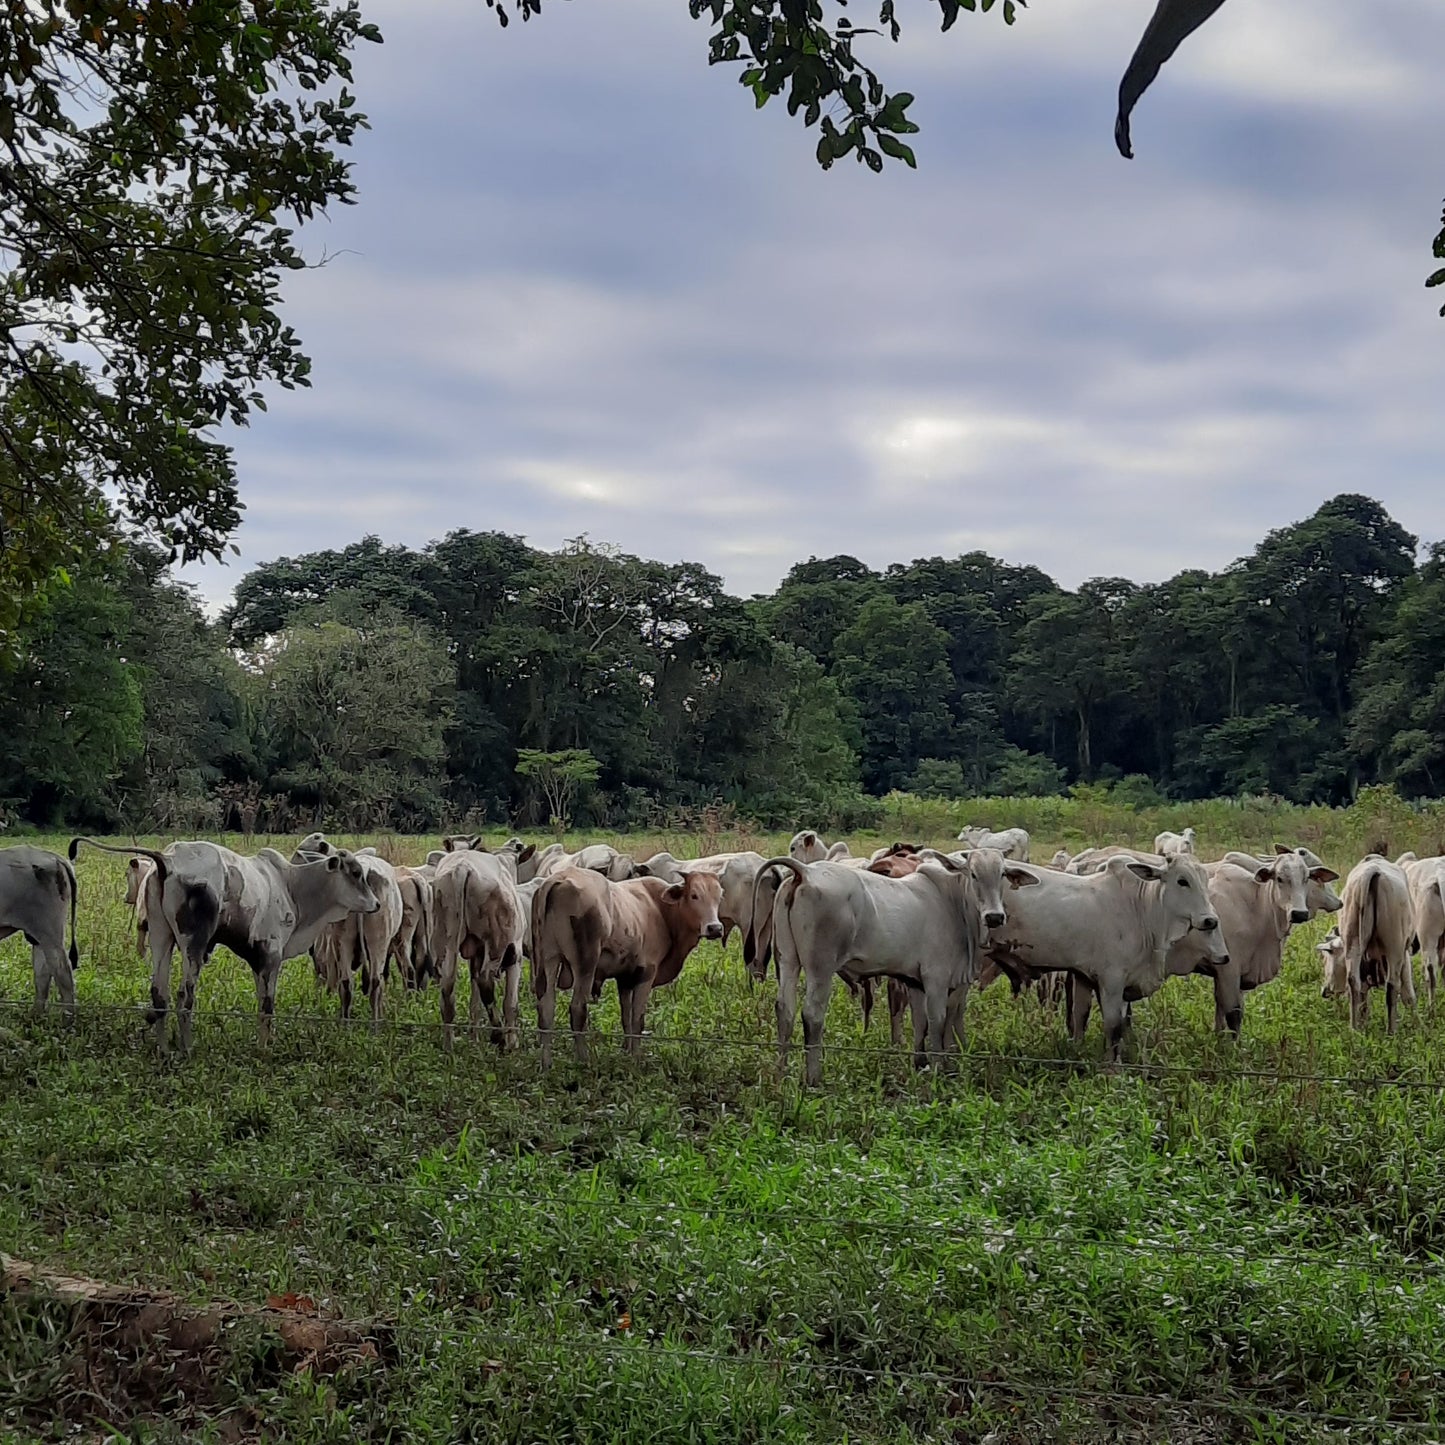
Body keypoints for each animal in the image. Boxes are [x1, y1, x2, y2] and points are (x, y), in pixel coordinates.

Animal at [0, 843, 79, 1017]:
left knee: (62, 972)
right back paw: (36, 1014)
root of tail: (54, 857)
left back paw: (67, 1017)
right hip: (37, 935)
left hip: (50, 932)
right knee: (43, 972)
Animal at [68, 832, 378, 1057]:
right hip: (193, 943)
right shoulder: (271, 956)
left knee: (159, 994)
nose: (375, 904)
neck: (291, 886)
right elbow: (268, 1005)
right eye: (355, 872)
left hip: (160, 936)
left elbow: (261, 1002)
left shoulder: (258, 961)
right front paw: (264, 1048)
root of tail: (168, 858)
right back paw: (187, 1049)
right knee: (184, 996)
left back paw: (165, 1050)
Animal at [528, 861, 722, 1069]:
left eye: (719, 896)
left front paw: (627, 1051)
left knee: (546, 1010)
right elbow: (637, 1019)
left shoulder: (625, 978)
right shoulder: (646, 973)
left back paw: (546, 1063)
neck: (660, 909)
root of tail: (559, 879)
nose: (715, 928)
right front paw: (636, 1057)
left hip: (548, 960)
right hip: (585, 964)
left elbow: (626, 1017)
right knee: (578, 1009)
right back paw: (584, 1060)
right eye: (694, 895)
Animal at [1323, 849, 1421, 1034]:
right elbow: (1409, 995)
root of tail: (1372, 870)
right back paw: (1391, 1031)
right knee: (1392, 985)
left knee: (1353, 982)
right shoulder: (1404, 956)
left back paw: (1355, 1029)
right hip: (1394, 948)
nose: (1325, 992)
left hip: (1353, 942)